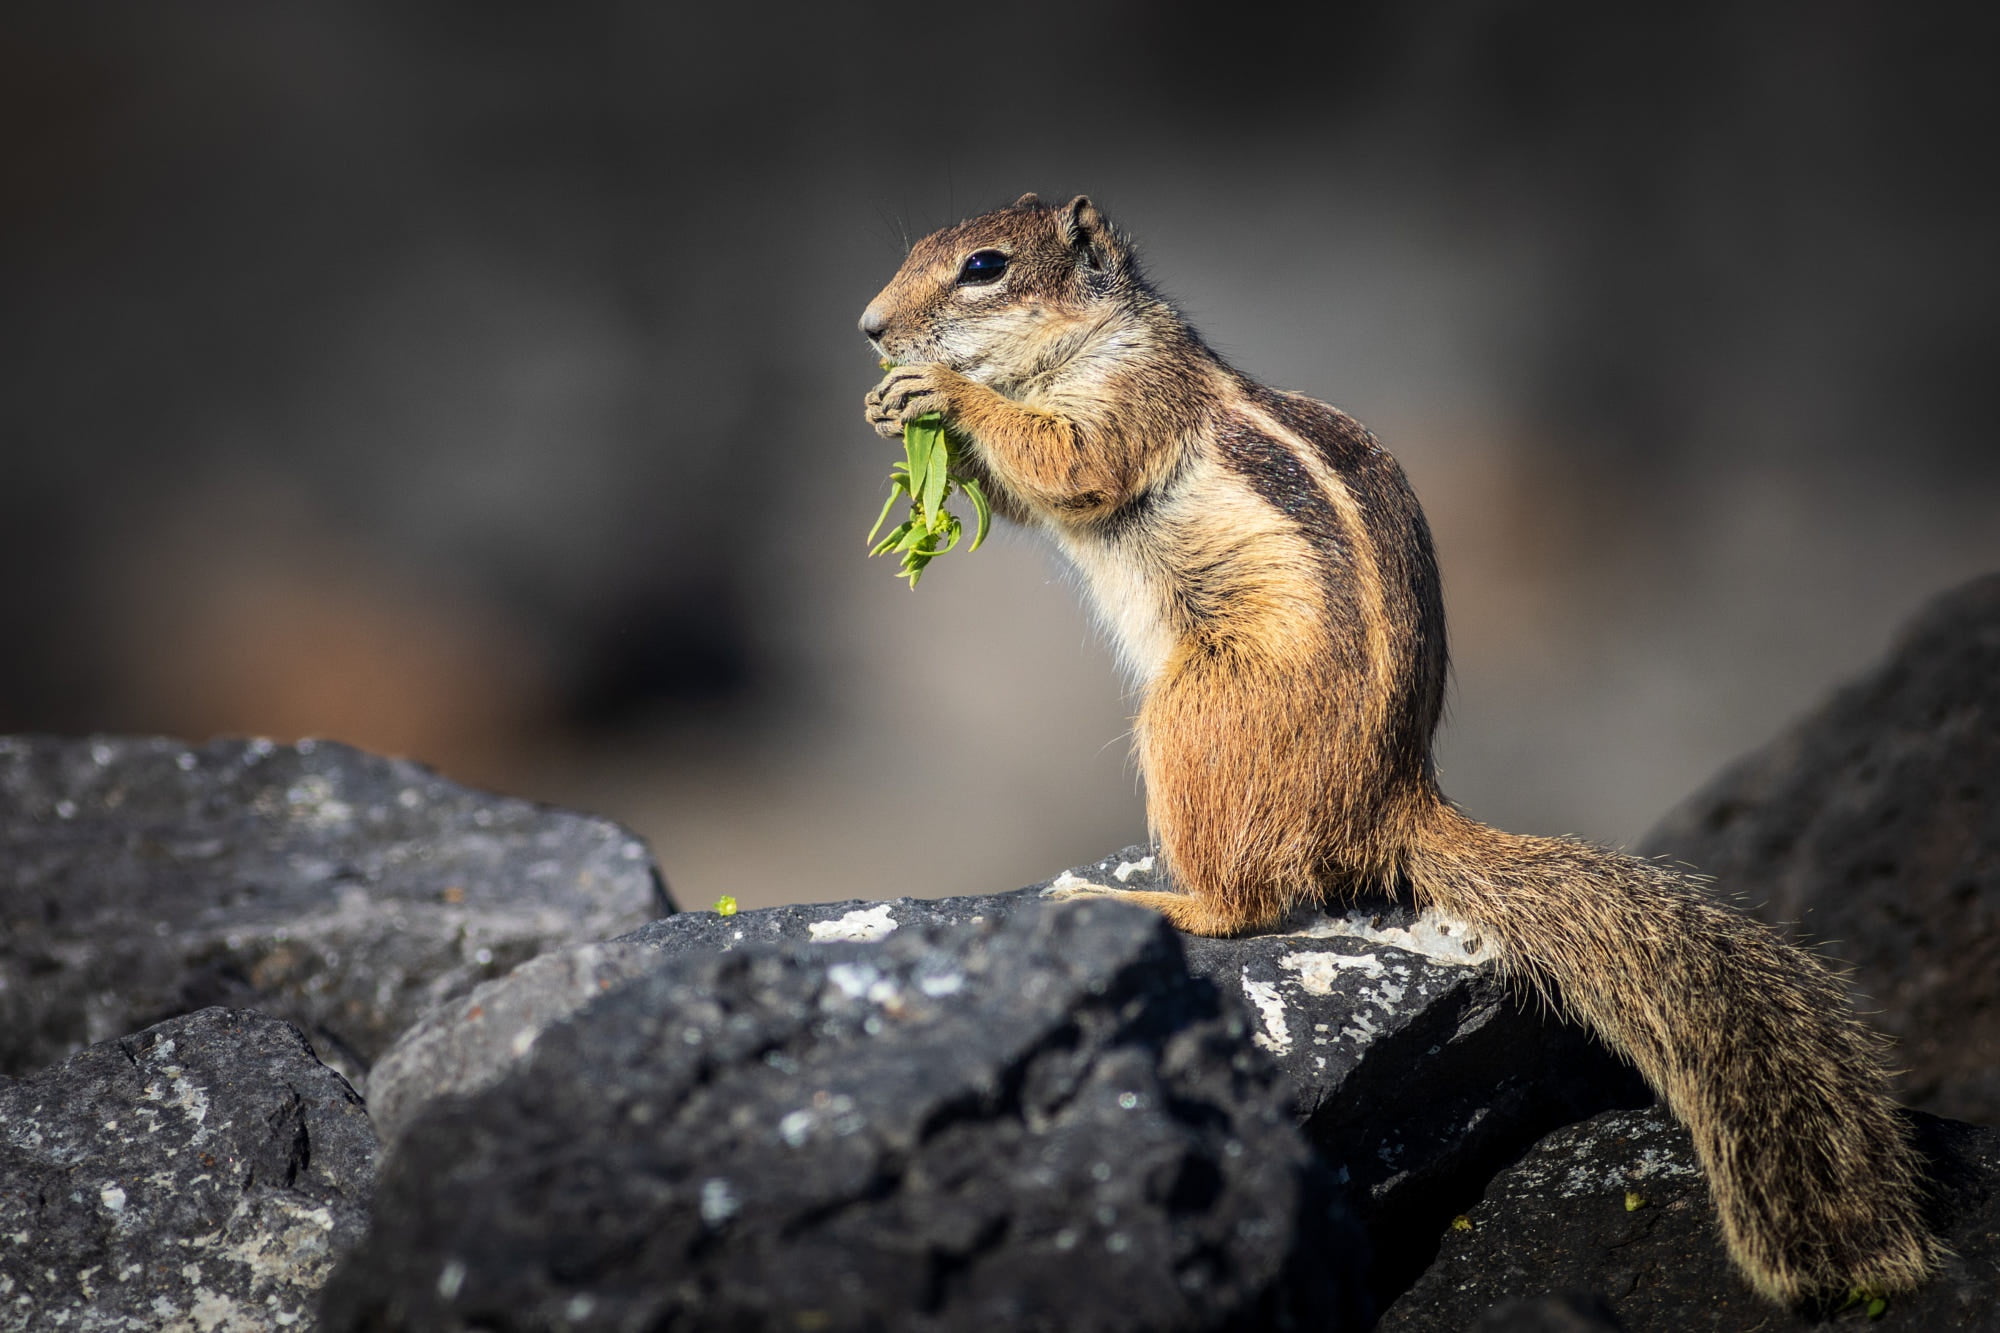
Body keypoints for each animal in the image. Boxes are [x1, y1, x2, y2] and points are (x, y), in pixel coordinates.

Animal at [858, 193, 1938, 1306]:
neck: (1086, 339)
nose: (869, 328)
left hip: (1195, 715)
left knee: (1246, 905)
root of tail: (1391, 803)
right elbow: (1030, 495)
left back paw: (1138, 901)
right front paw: (890, 411)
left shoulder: (1129, 400)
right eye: (920, 249)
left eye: (983, 267)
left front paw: (941, 393)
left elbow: (1070, 464)